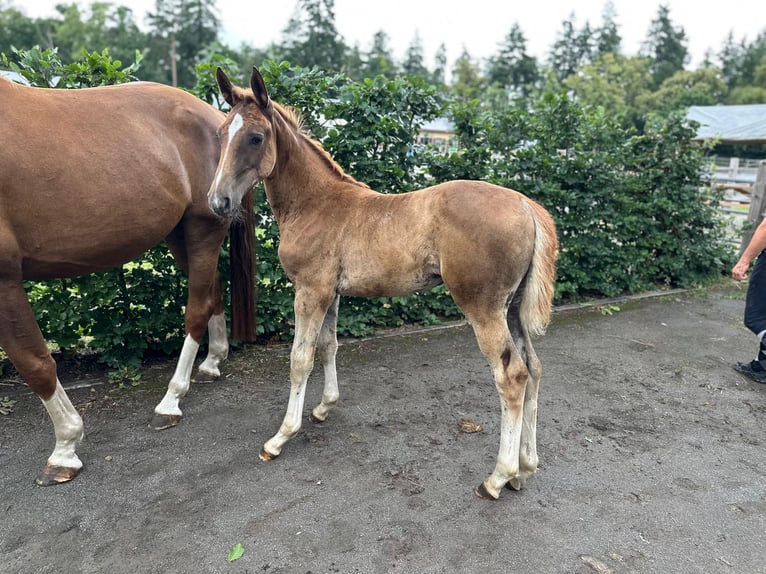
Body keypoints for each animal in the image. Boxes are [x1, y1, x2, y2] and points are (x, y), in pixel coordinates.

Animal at [0, 77, 256, 485]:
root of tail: (212, 114)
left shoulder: (6, 278)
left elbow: (34, 362)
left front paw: (65, 448)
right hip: (179, 234)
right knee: (213, 288)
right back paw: (212, 361)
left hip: (203, 228)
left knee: (197, 307)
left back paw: (170, 401)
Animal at [208, 67, 559, 500]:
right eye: (221, 132)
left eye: (256, 137)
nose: (218, 202)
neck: (314, 203)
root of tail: (526, 204)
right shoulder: (330, 294)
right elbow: (328, 346)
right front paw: (324, 406)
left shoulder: (309, 291)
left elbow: (299, 359)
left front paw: (280, 437)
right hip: (511, 308)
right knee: (534, 368)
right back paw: (524, 469)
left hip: (483, 307)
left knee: (512, 376)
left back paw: (497, 477)